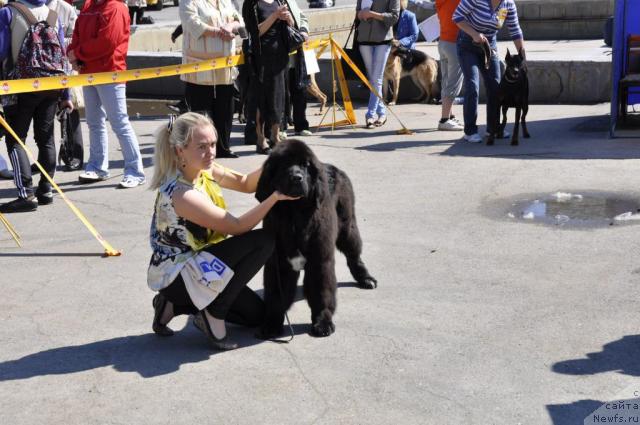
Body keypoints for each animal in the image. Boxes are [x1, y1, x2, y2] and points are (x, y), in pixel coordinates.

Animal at [255, 139, 376, 338]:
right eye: (284, 164)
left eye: (306, 165)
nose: (297, 177)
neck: (294, 213)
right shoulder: (278, 263)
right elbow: (275, 295)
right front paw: (271, 323)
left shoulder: (320, 260)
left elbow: (321, 292)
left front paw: (323, 322)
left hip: (347, 225)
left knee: (354, 254)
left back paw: (366, 279)